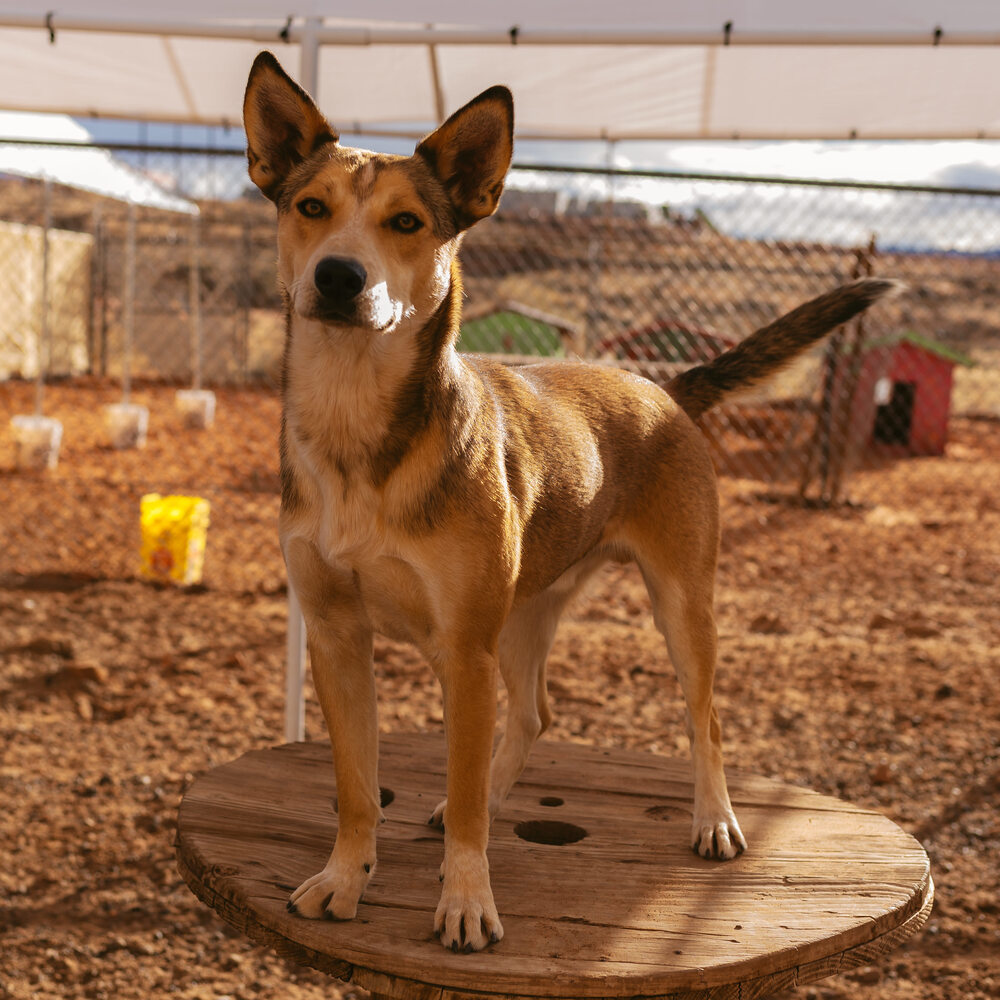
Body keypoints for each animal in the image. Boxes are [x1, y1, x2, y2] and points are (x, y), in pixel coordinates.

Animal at [244, 52, 900, 952]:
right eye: (311, 208)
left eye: (407, 222)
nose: (339, 277)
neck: (360, 436)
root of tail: (665, 389)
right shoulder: (339, 637)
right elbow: (355, 787)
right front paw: (346, 878)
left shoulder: (462, 650)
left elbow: (466, 805)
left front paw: (466, 902)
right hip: (526, 611)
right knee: (533, 716)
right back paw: (481, 796)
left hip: (678, 606)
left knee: (704, 719)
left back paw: (714, 821)